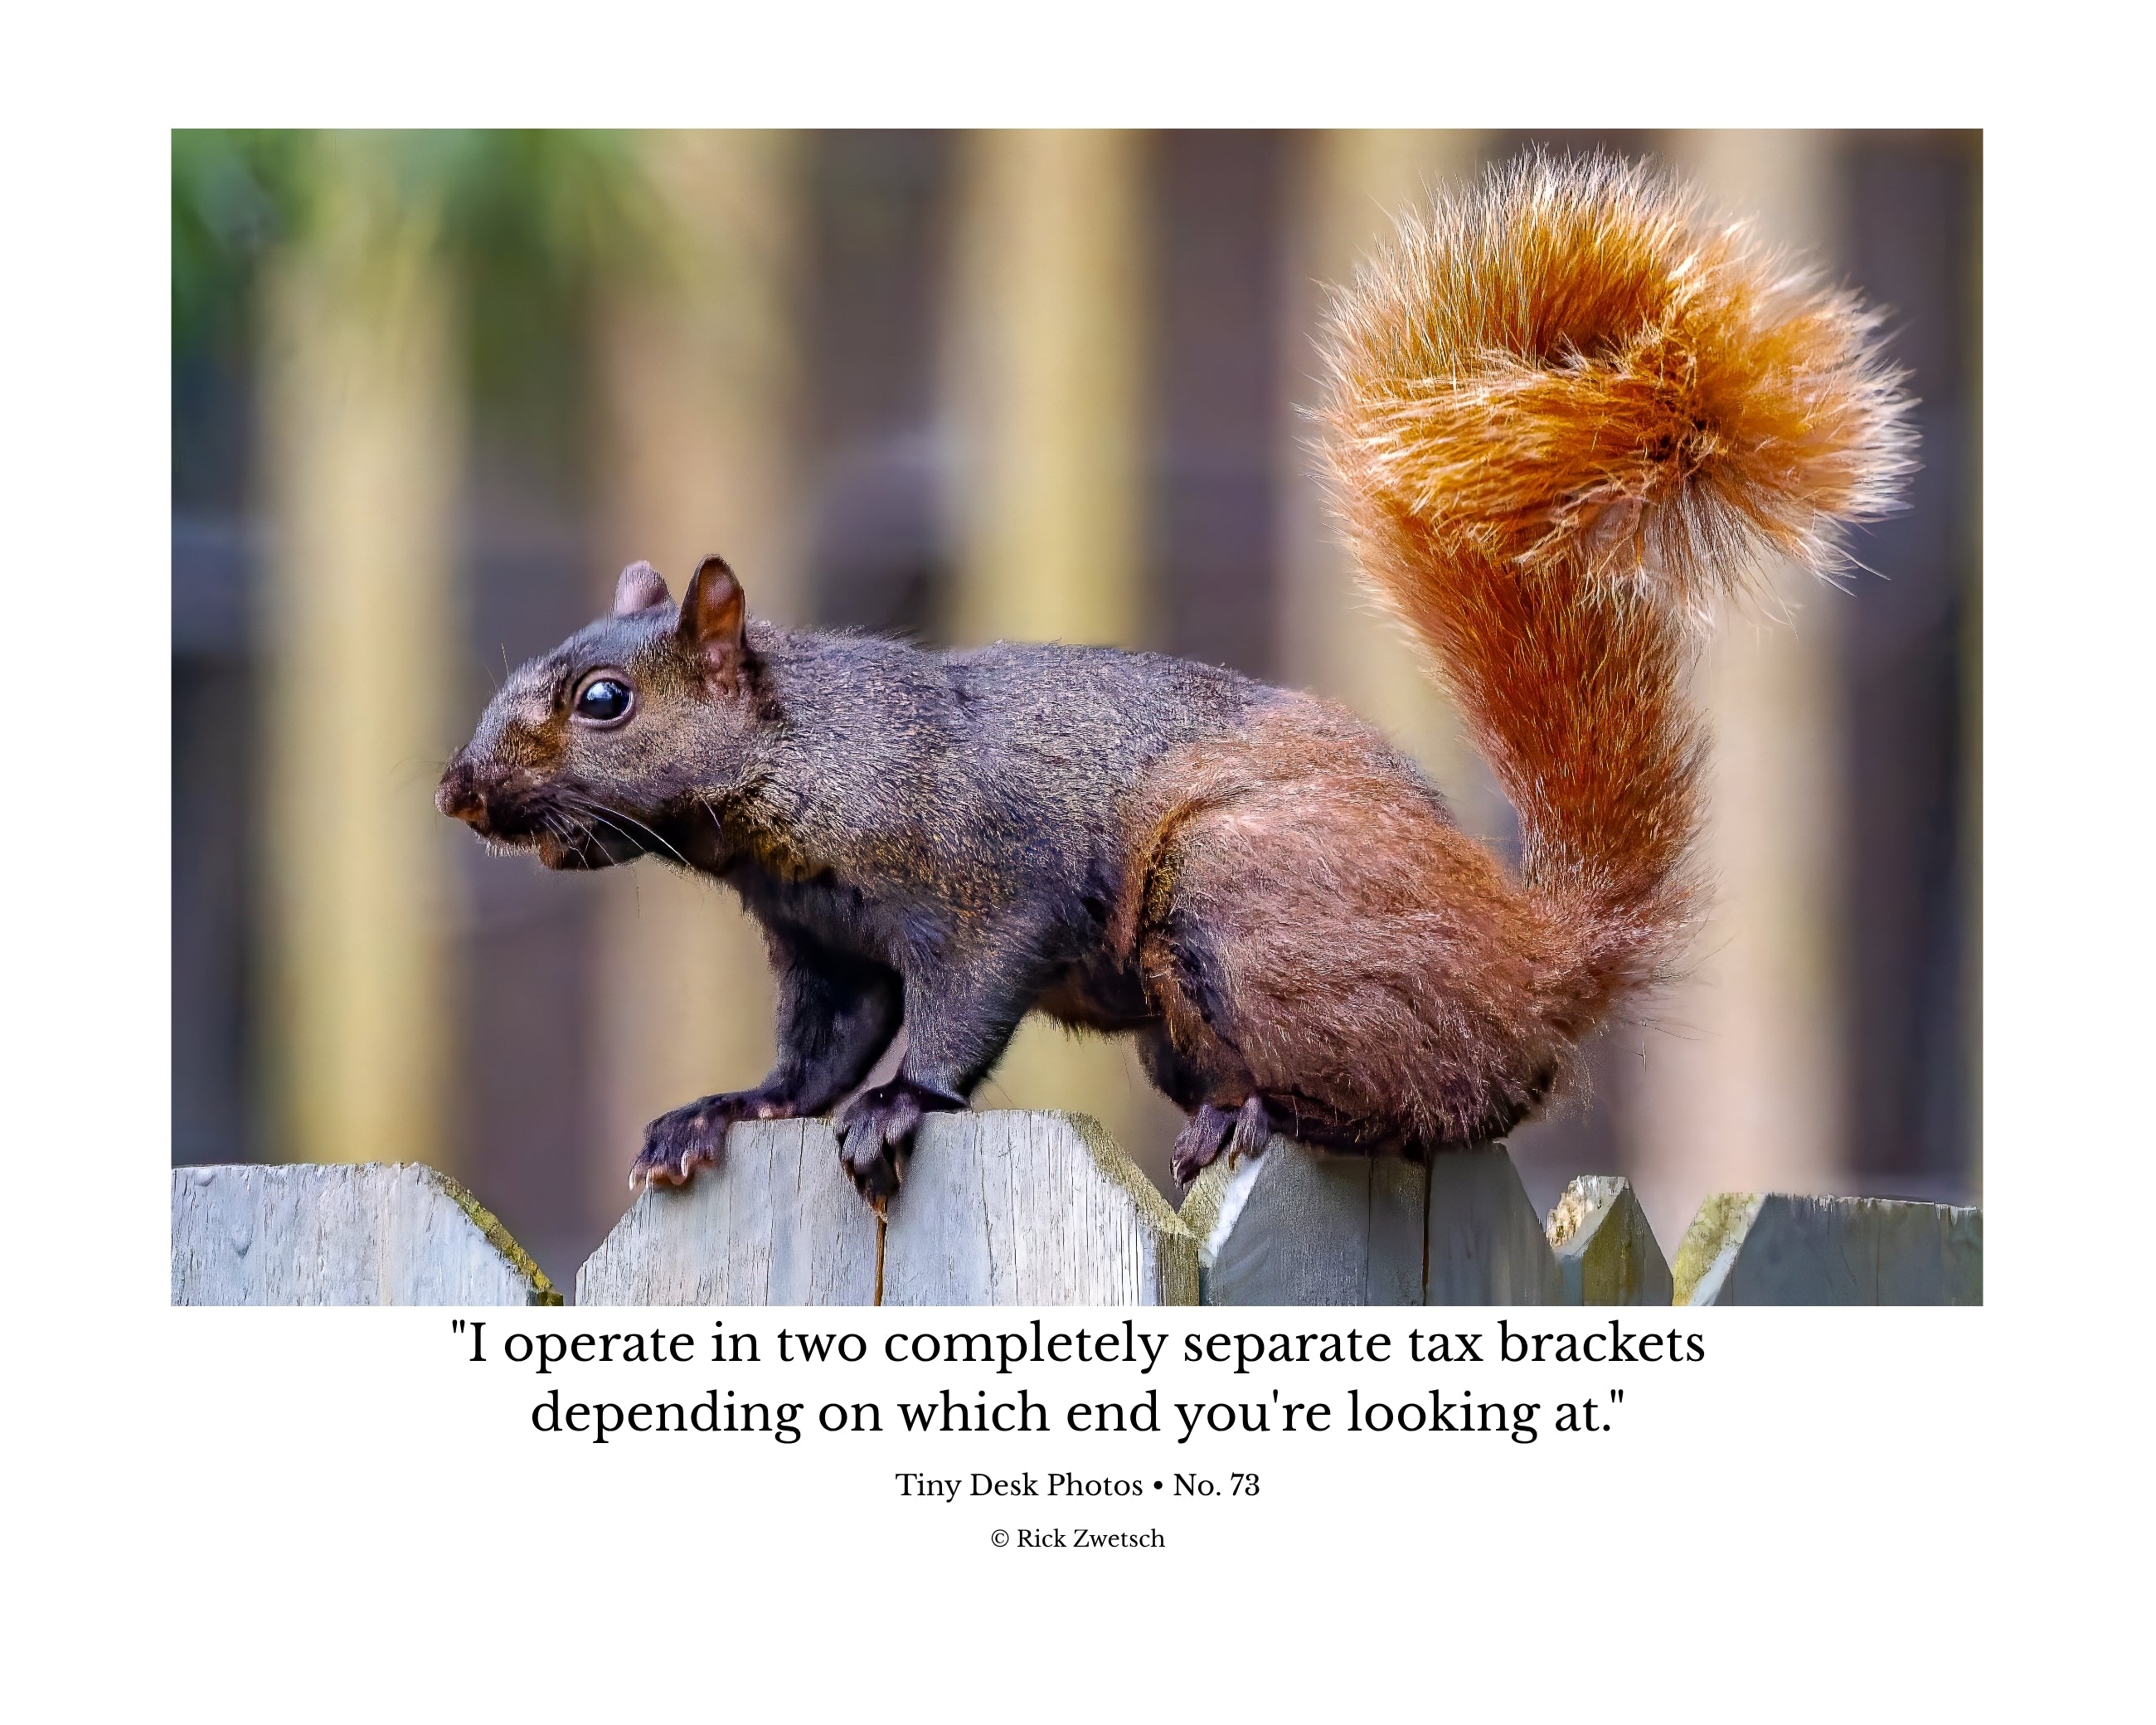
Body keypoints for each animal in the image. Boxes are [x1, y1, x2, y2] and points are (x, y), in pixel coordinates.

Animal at [437, 152, 1914, 1201]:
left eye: (605, 701)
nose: (458, 794)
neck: (809, 762)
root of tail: (1535, 955)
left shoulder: (983, 882)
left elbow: (958, 1013)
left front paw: (899, 1108)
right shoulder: (824, 946)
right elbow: (818, 1051)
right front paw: (724, 1113)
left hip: (1233, 899)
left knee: (1428, 1109)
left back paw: (1259, 1113)